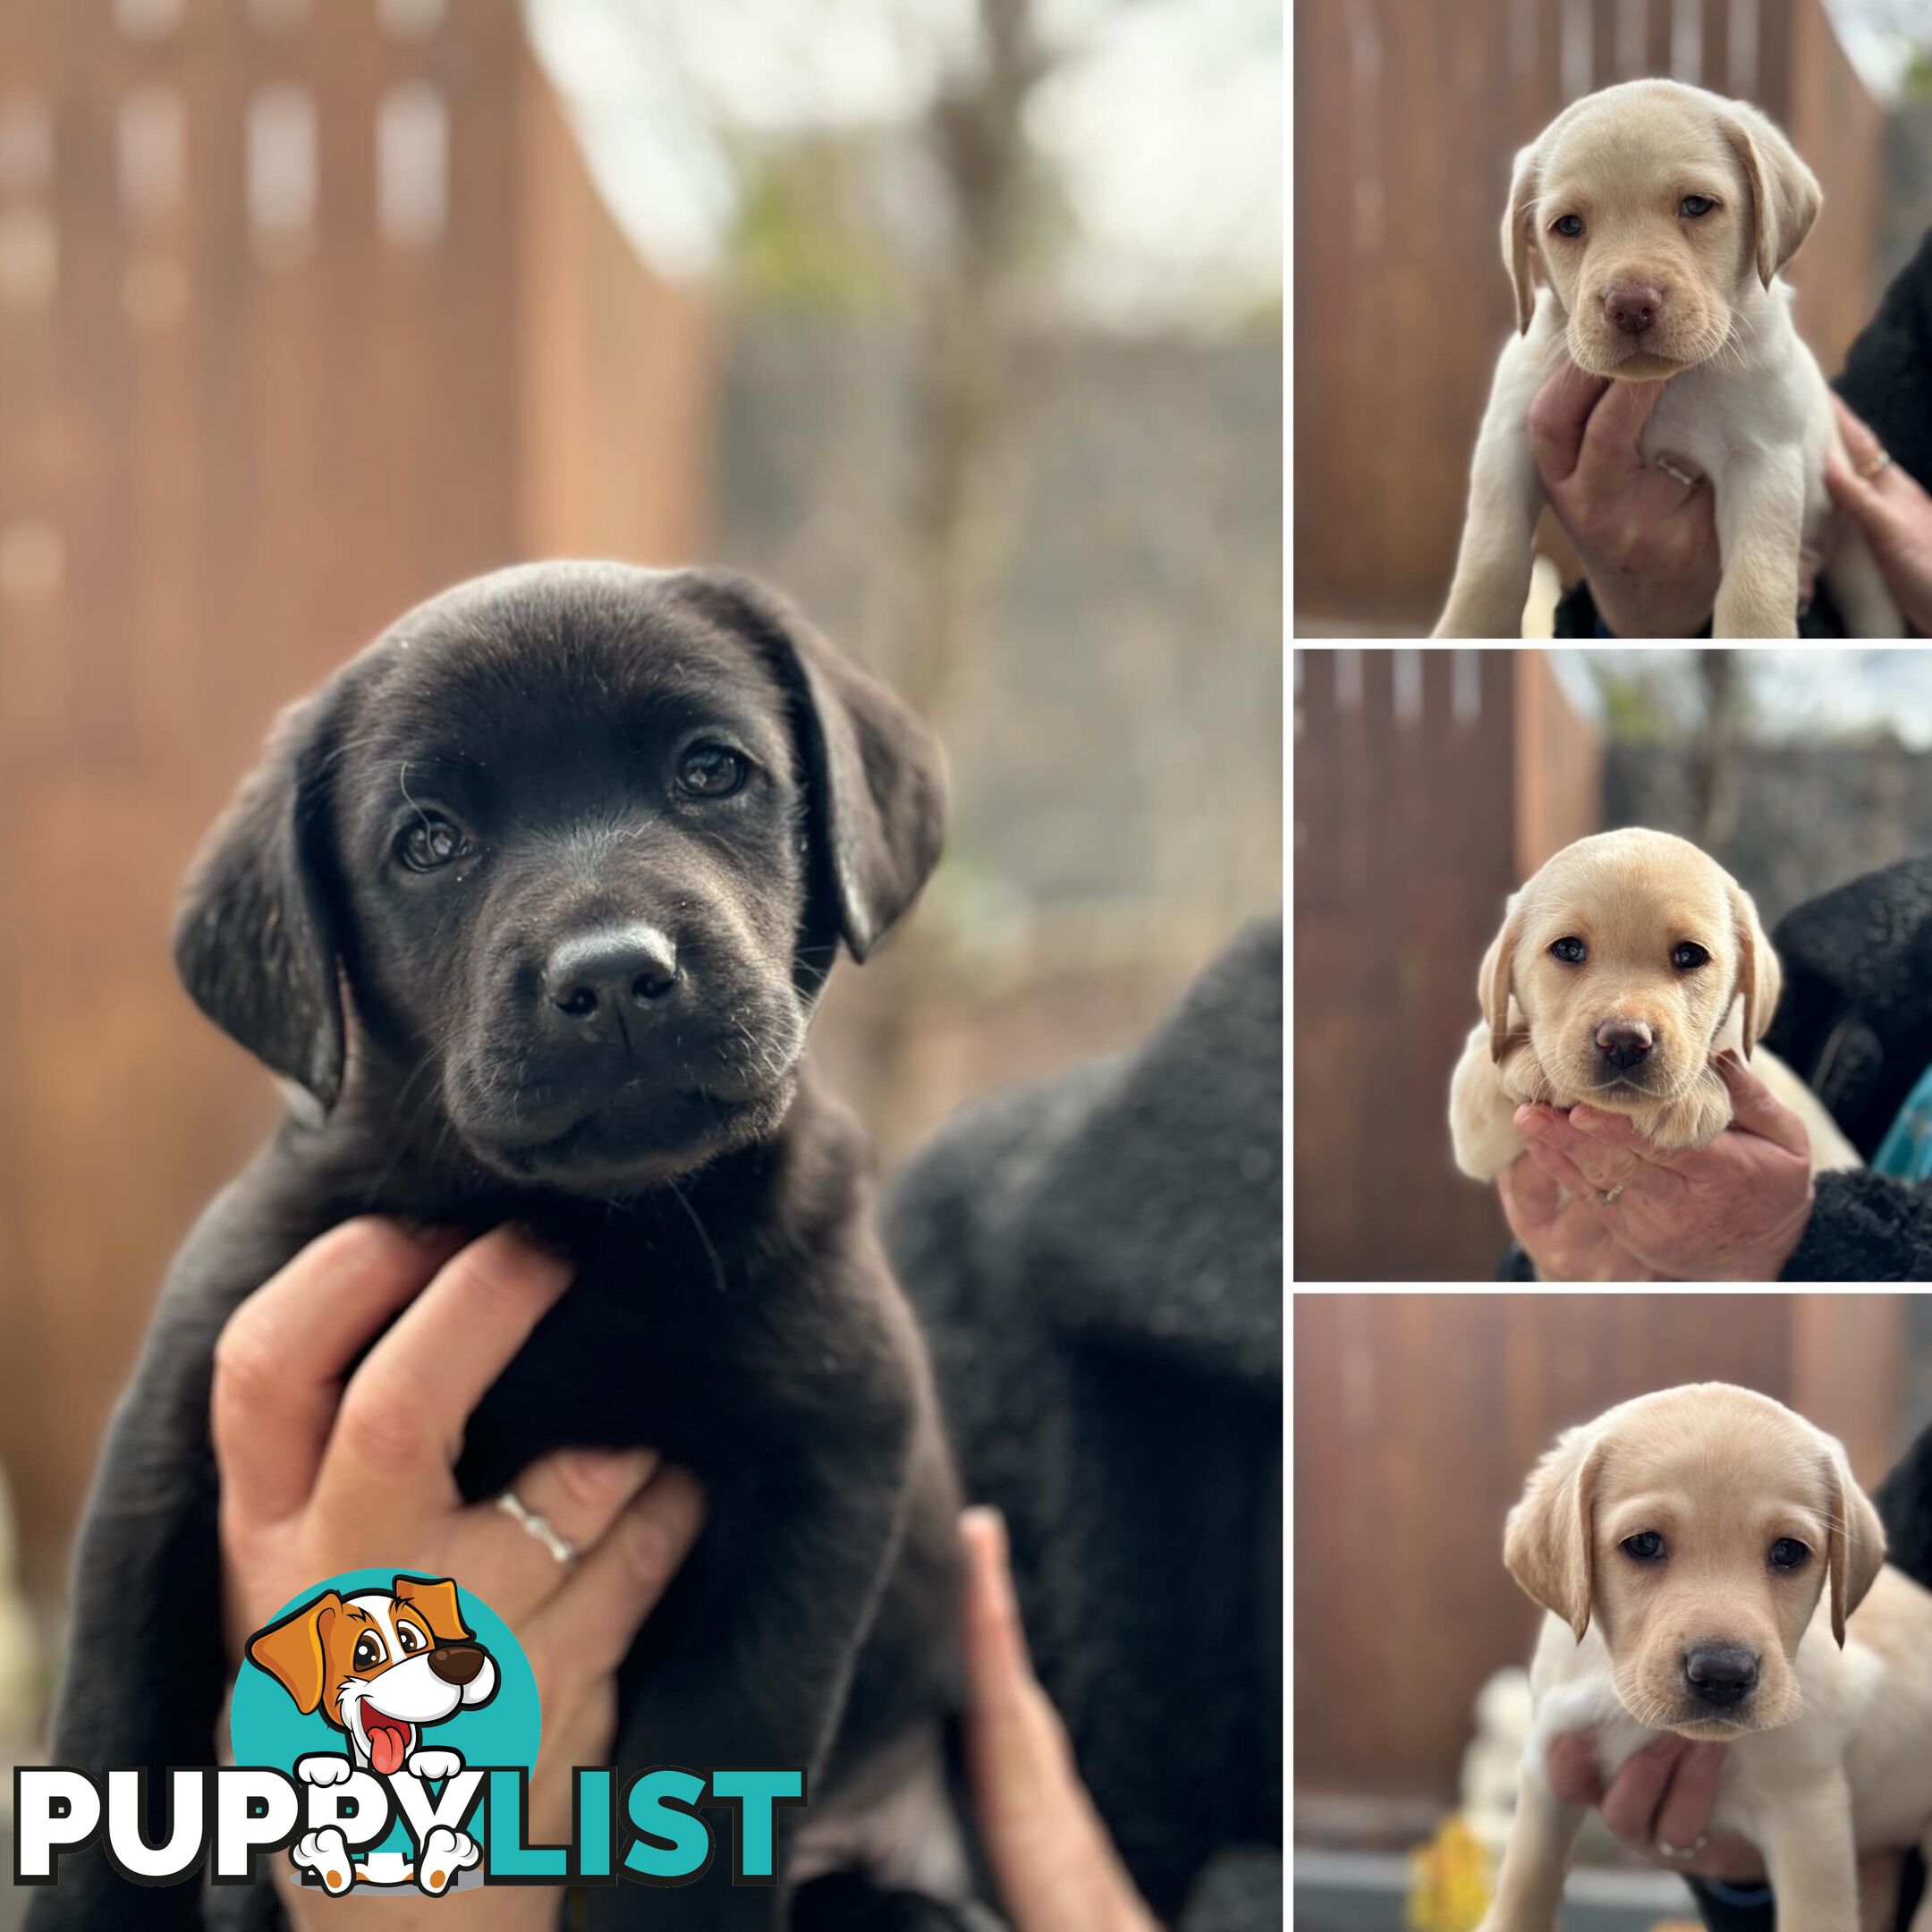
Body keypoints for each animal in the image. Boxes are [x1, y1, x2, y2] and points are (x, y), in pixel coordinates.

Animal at [43, 564, 973, 1932]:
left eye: (713, 770)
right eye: (428, 841)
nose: (618, 974)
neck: (591, 1227)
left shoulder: (827, 1458)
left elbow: (708, 1768)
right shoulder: (173, 1425)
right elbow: (114, 1725)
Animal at [1437, 79, 1901, 637]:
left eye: (1697, 205)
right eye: (1568, 225)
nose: (1630, 305)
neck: (1670, 384)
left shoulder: (1762, 461)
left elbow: (1756, 586)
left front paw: (1758, 638)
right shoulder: (1508, 434)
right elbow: (1491, 554)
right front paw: (1463, 632)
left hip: (1859, 553)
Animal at [1453, 818, 1862, 1174]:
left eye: (1690, 955)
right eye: (1568, 949)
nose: (1624, 1042)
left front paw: (1691, 1098)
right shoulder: (1475, 1136)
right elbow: (1482, 1066)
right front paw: (1530, 1063)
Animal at [1476, 1391, 1932, 1932]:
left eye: (1788, 1552)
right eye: (1643, 1543)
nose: (1723, 1676)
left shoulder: (1809, 1815)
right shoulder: (1548, 1764)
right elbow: (1525, 1880)